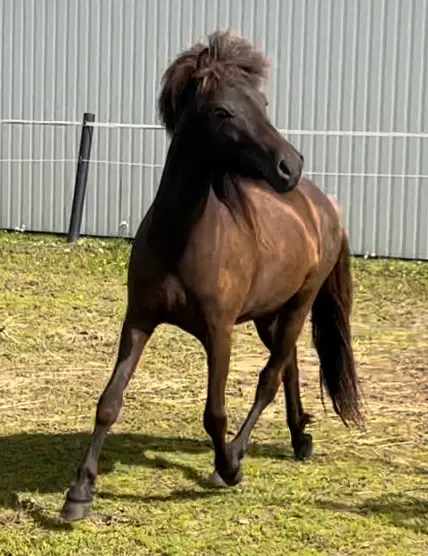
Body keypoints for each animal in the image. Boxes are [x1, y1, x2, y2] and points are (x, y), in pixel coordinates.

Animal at [60, 28, 362, 524]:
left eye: (263, 104)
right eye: (223, 111)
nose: (290, 165)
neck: (182, 240)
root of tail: (323, 205)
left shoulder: (219, 332)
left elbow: (214, 413)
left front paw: (227, 468)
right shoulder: (138, 321)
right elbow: (109, 402)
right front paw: (79, 494)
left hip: (298, 306)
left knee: (269, 378)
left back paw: (239, 456)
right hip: (270, 314)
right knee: (288, 367)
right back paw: (299, 439)